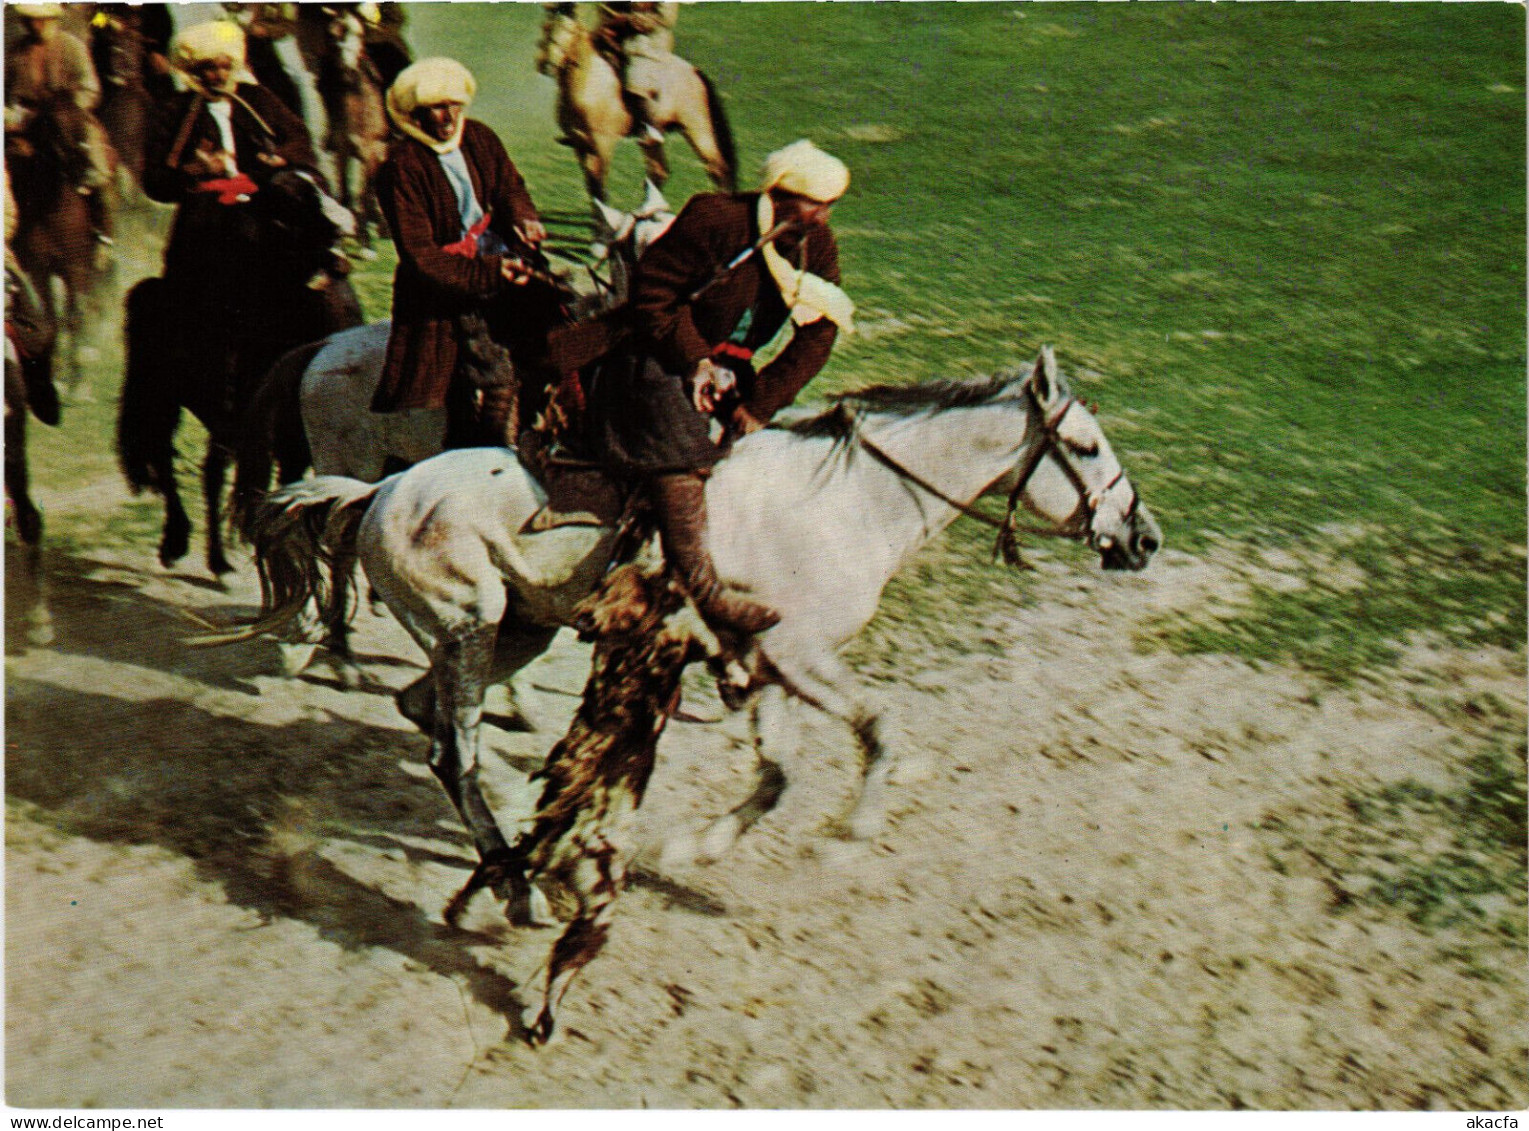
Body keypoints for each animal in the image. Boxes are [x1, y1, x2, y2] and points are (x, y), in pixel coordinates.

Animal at [235, 343, 1155, 917]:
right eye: (1084, 445)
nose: (1143, 537)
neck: (850, 499)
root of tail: (379, 492)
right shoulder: (797, 654)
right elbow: (880, 729)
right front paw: (847, 836)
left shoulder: (772, 665)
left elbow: (778, 774)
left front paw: (690, 849)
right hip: (470, 625)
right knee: (448, 750)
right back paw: (515, 883)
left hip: (516, 629)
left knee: (422, 712)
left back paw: (532, 826)